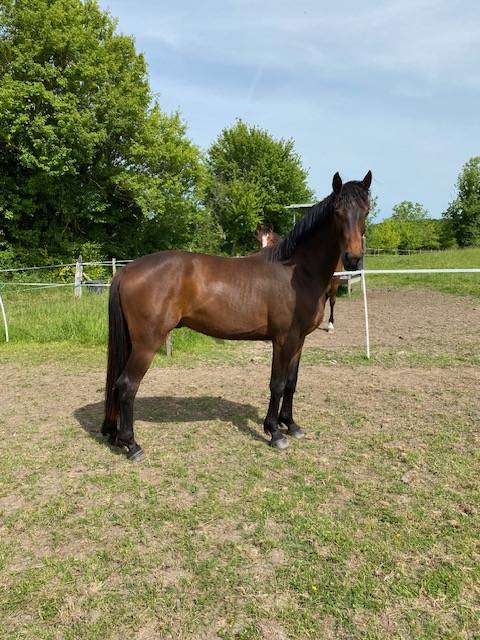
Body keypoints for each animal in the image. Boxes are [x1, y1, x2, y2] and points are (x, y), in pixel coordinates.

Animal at [101, 171, 372, 460]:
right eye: (337, 212)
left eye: (366, 211)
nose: (353, 259)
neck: (297, 272)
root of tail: (126, 270)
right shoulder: (283, 340)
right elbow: (276, 384)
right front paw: (274, 432)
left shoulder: (299, 340)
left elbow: (291, 382)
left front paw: (291, 425)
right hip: (146, 344)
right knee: (127, 385)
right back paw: (132, 445)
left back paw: (116, 436)